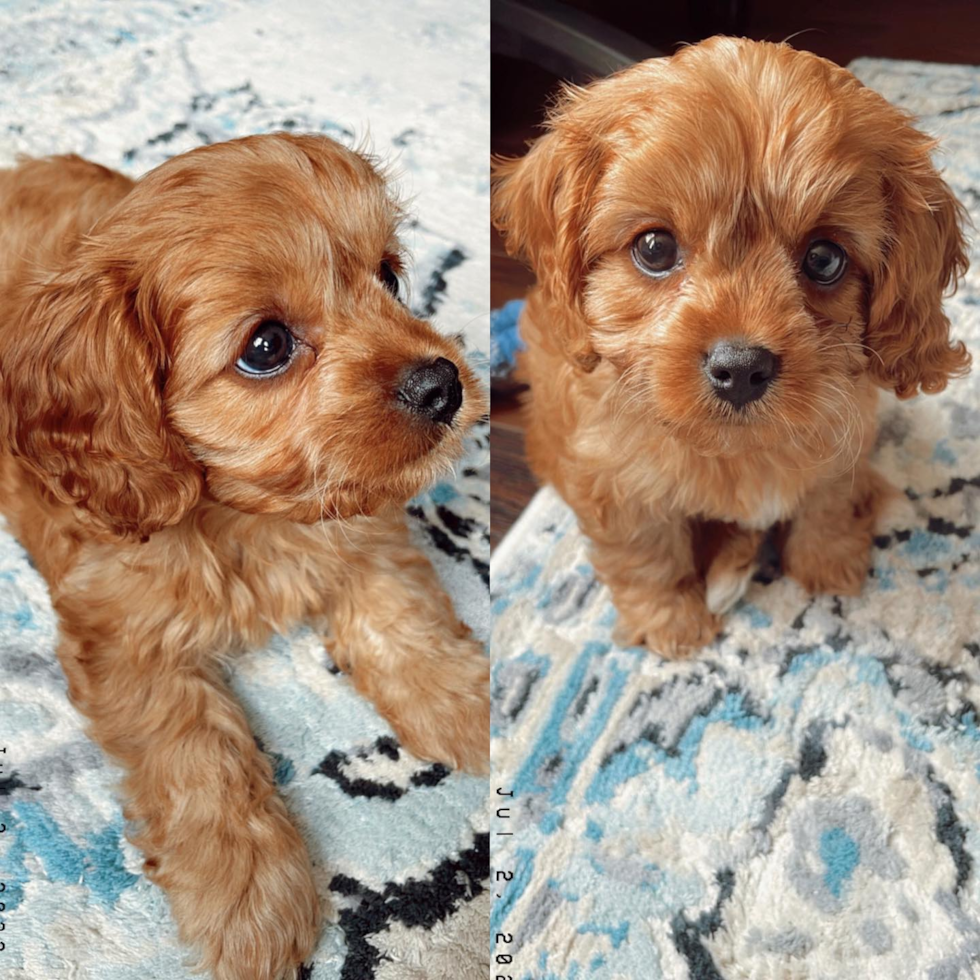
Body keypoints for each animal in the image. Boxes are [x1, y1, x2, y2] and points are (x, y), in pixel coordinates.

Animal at [0, 136, 490, 980]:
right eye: (267, 347)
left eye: (391, 276)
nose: (443, 385)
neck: (246, 516)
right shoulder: (124, 638)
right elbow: (194, 754)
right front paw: (248, 893)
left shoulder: (364, 528)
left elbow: (403, 614)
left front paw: (466, 699)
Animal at [494, 36, 968, 660]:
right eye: (654, 247)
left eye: (825, 258)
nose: (741, 369)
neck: (736, 450)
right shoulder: (616, 486)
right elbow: (647, 558)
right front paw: (672, 623)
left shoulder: (840, 435)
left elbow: (826, 500)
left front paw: (828, 563)